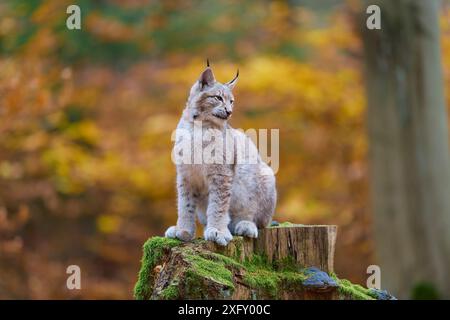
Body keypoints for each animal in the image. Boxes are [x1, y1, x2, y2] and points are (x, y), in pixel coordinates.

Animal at [165, 63, 276, 248]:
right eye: (218, 98)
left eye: (231, 101)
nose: (229, 111)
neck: (199, 126)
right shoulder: (185, 174)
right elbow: (184, 204)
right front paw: (184, 230)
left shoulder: (221, 172)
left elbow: (218, 204)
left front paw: (218, 231)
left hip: (266, 173)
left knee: (262, 221)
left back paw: (244, 225)